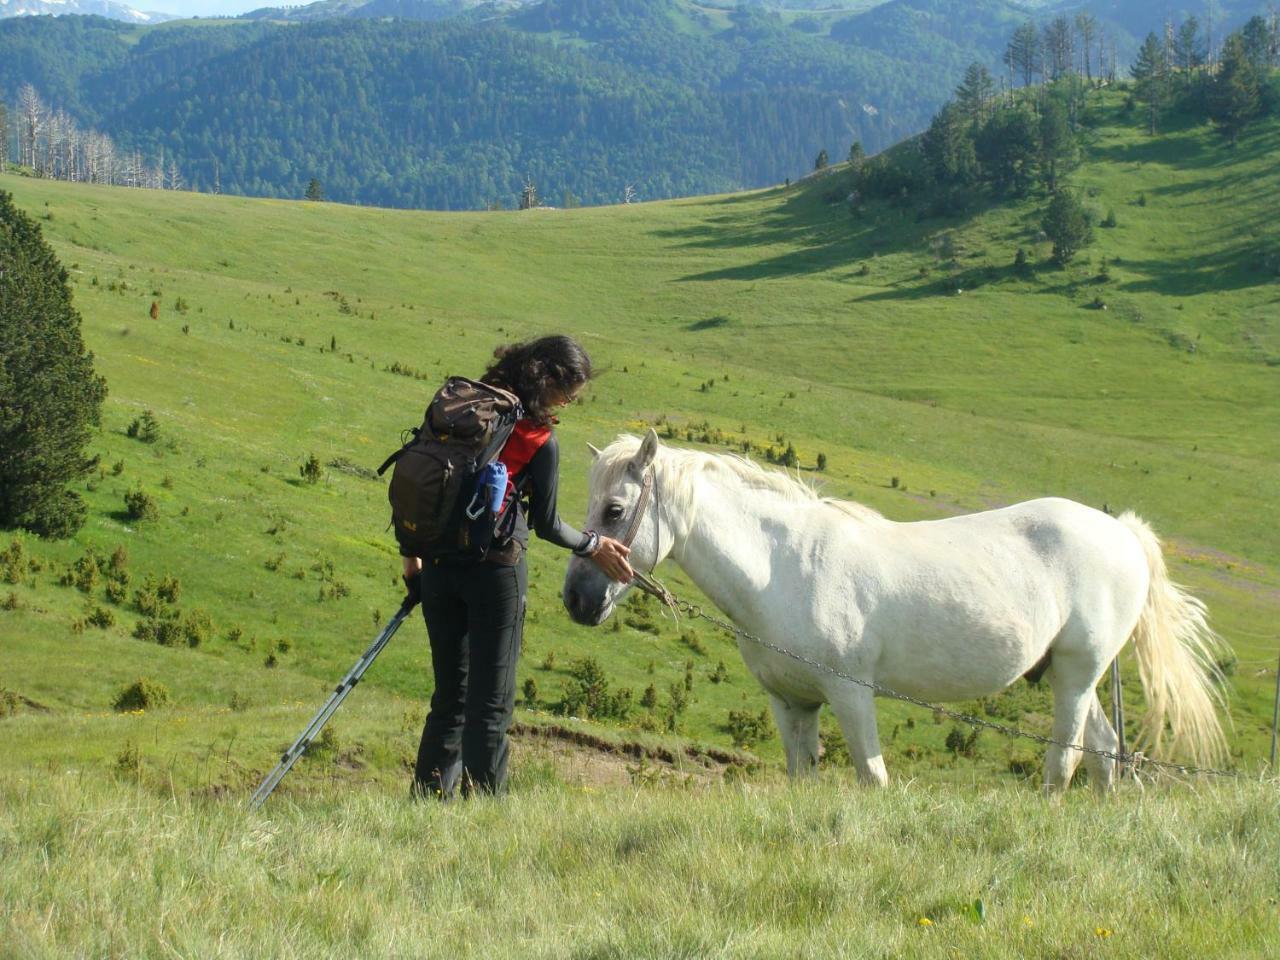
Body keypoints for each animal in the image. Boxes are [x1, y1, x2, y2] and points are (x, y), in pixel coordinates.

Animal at [565, 432, 1223, 793]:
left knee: (1064, 760)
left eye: (616, 509)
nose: (576, 600)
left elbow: (871, 777)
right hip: (1072, 675)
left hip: (1079, 671)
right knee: (1104, 751)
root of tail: (1121, 532)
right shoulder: (790, 702)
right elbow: (802, 779)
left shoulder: (851, 694)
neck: (782, 567)